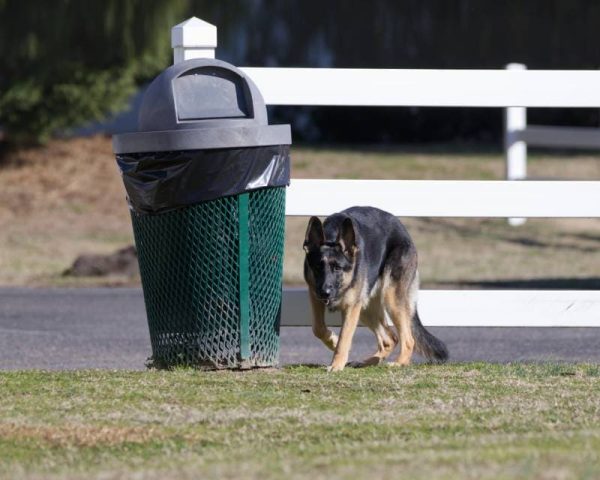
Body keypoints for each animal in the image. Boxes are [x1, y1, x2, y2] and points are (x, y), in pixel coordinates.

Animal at [302, 206, 448, 372]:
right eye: (318, 267)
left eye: (337, 268)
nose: (325, 292)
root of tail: (403, 230)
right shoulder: (315, 296)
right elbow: (318, 328)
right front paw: (333, 341)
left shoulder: (351, 307)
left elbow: (344, 339)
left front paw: (336, 364)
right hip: (365, 308)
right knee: (390, 339)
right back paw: (366, 361)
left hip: (390, 299)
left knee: (408, 340)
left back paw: (399, 362)